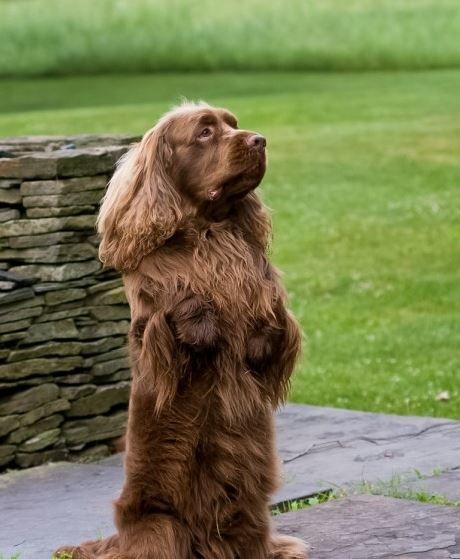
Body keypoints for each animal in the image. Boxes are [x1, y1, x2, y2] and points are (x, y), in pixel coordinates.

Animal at [55, 104, 308, 559]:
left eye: (233, 124)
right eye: (205, 132)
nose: (260, 139)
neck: (211, 232)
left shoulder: (262, 285)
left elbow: (273, 312)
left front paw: (259, 332)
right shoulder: (153, 322)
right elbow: (178, 303)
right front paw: (203, 324)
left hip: (252, 511)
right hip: (162, 527)